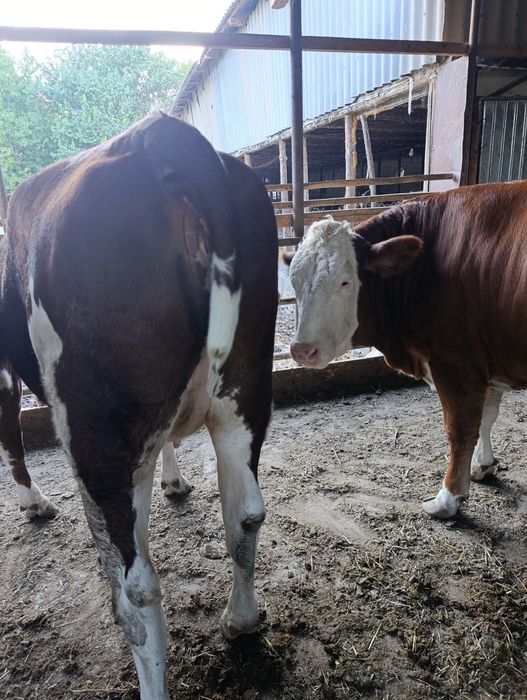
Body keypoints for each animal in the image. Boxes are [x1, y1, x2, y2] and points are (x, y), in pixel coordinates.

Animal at [1, 112, 278, 699]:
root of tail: (159, 135)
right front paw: (175, 480)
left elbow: (8, 434)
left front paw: (33, 502)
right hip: (244, 391)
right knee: (244, 516)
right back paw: (241, 620)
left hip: (97, 432)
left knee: (137, 588)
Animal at [283, 181, 527, 520]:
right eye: (294, 282)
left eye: (345, 282)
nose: (303, 350)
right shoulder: (487, 359)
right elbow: (487, 417)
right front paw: (483, 465)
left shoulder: (456, 363)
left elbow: (461, 429)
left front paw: (448, 498)